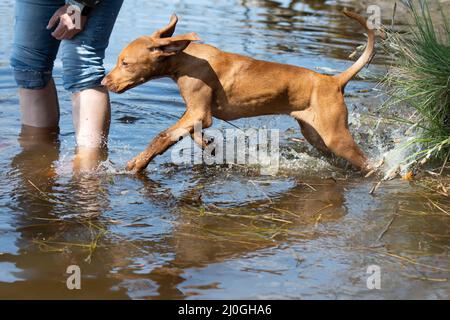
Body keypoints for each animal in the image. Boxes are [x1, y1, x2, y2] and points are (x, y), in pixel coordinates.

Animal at [103, 10, 376, 174]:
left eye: (125, 63)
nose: (104, 82)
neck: (186, 60)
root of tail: (334, 81)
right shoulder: (196, 115)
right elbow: (192, 134)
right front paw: (207, 144)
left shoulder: (198, 113)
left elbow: (161, 137)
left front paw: (137, 163)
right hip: (316, 136)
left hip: (336, 137)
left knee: (369, 163)